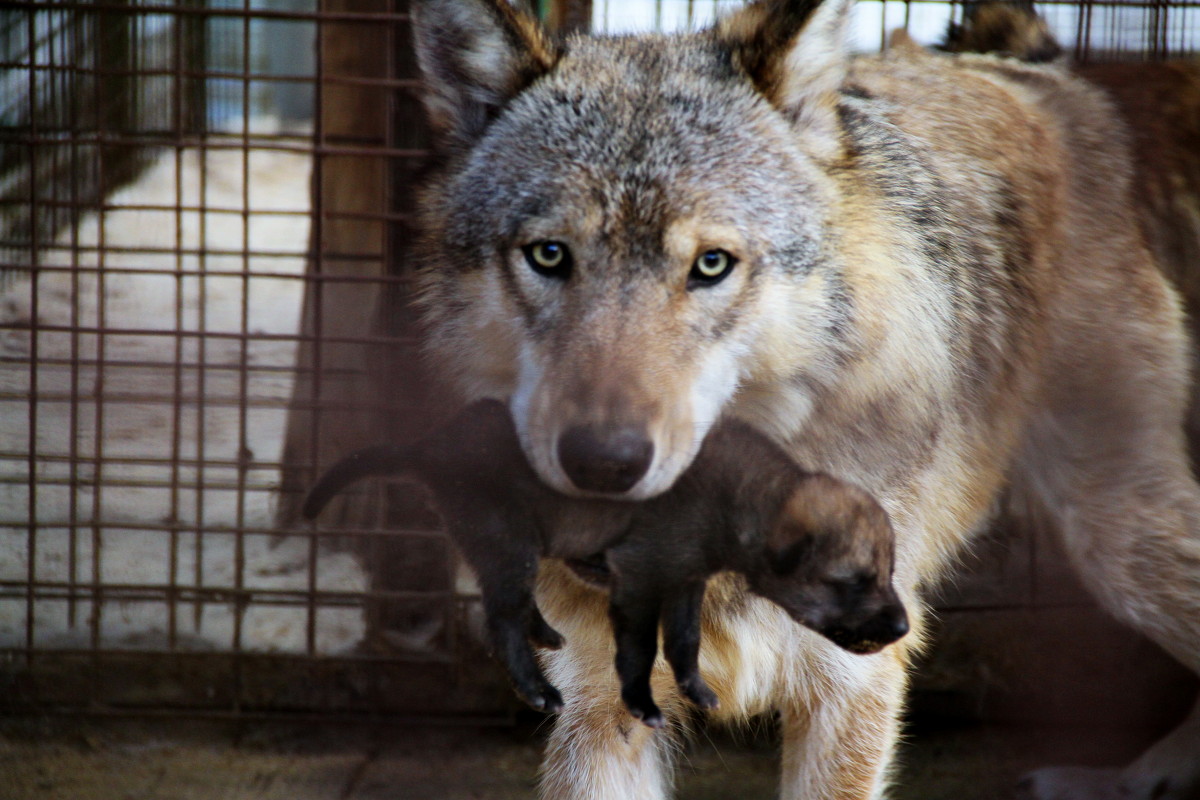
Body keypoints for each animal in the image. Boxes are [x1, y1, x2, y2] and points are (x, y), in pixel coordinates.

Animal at [408, 0, 1200, 796]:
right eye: (549, 256)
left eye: (712, 265)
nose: (604, 461)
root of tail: (1037, 74)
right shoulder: (599, 706)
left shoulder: (853, 688)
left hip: (1121, 541)